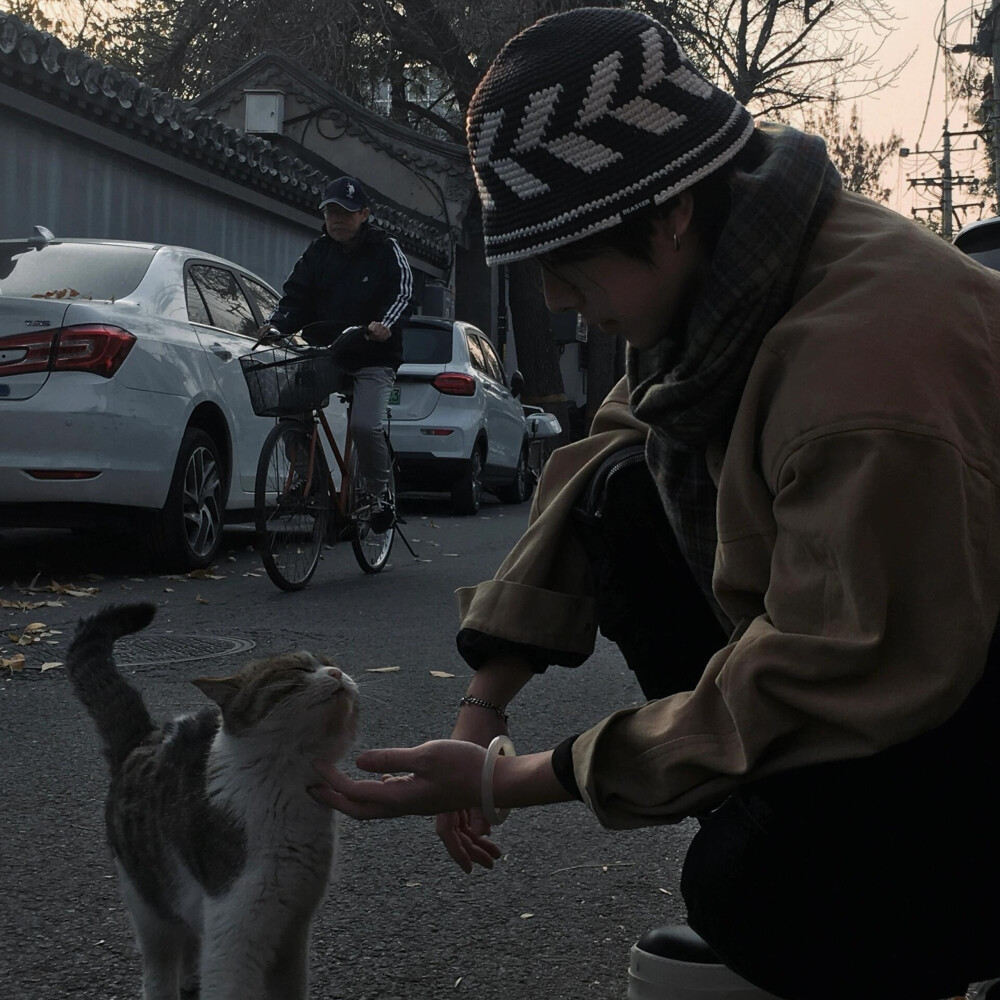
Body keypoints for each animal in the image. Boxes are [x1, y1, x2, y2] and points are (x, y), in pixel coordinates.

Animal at [65, 600, 360, 1000]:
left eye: (332, 662)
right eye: (298, 669)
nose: (337, 672)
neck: (289, 785)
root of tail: (143, 738)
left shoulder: (293, 929)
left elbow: (289, 986)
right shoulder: (237, 927)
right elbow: (227, 980)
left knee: (191, 936)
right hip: (148, 903)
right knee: (159, 962)